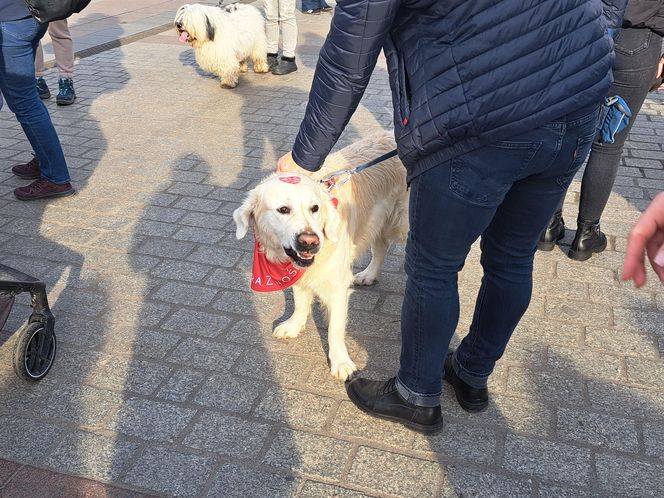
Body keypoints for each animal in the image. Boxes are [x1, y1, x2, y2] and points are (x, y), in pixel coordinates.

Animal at [233, 134, 410, 380]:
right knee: (381, 246)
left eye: (315, 208)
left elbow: (335, 328)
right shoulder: (299, 272)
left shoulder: (337, 286)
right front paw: (294, 324)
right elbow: (300, 299)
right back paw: (368, 275)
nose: (310, 241)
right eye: (283, 210)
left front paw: (341, 362)